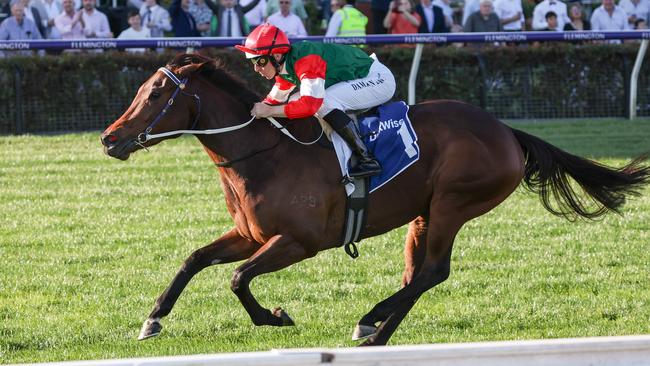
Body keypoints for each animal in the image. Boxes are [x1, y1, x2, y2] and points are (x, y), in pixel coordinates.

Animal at [101, 54, 648, 346]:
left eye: (155, 95)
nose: (109, 139)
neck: (265, 156)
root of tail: (507, 132)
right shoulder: (250, 233)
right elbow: (195, 259)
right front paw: (152, 318)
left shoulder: (298, 242)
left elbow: (238, 279)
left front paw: (273, 317)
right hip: (424, 213)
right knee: (417, 276)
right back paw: (377, 329)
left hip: (453, 204)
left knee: (432, 273)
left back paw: (371, 323)